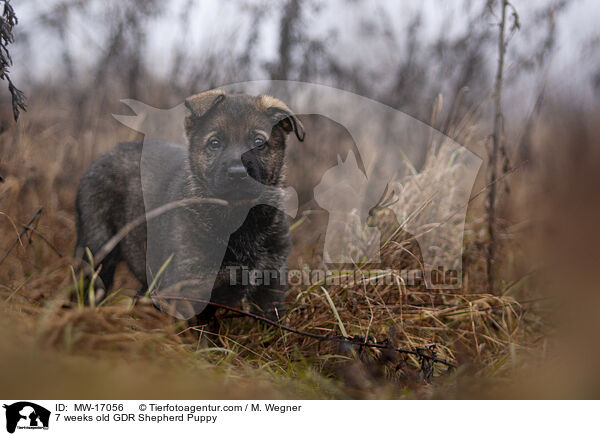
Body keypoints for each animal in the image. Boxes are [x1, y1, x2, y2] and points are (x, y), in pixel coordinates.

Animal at [74, 89, 304, 320]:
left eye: (258, 142)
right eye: (214, 143)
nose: (237, 173)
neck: (238, 217)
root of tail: (107, 155)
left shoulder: (270, 286)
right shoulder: (194, 289)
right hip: (98, 251)